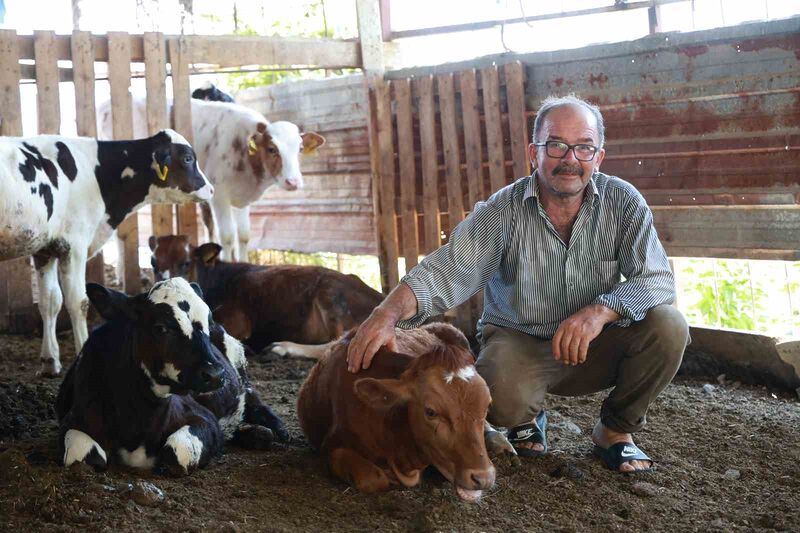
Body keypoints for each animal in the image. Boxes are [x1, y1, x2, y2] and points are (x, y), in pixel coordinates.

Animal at [0, 128, 214, 374]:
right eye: (188, 158)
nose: (211, 189)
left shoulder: (45, 248)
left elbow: (50, 301)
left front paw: (50, 361)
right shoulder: (74, 244)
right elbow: (77, 302)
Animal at [54, 278, 284, 474]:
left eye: (208, 322)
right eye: (161, 328)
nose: (215, 374)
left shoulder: (206, 420)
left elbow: (174, 454)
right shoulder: (71, 422)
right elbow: (85, 457)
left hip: (239, 365)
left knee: (252, 399)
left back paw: (275, 429)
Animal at [151, 237, 388, 354]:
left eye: (185, 263)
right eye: (153, 263)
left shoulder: (237, 319)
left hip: (331, 295)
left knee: (342, 342)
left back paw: (283, 347)